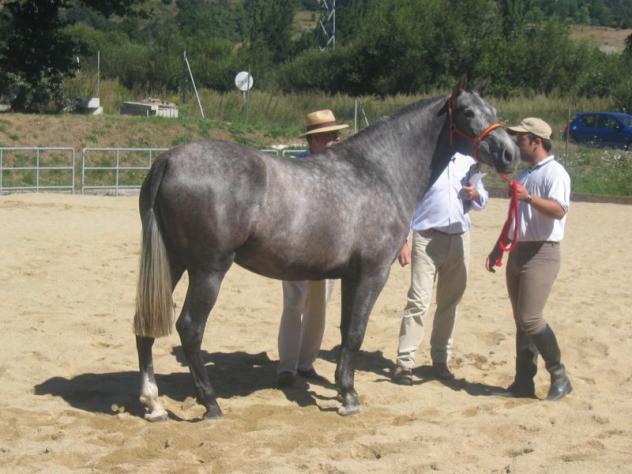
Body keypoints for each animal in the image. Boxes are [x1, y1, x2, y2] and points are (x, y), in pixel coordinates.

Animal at [133, 80, 519, 421]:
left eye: (493, 111)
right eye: (467, 112)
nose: (510, 153)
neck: (380, 171)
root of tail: (168, 160)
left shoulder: (350, 277)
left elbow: (346, 329)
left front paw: (340, 387)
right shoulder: (372, 274)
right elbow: (355, 332)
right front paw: (349, 397)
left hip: (173, 265)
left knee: (145, 323)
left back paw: (154, 404)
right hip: (208, 270)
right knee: (190, 328)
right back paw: (210, 403)